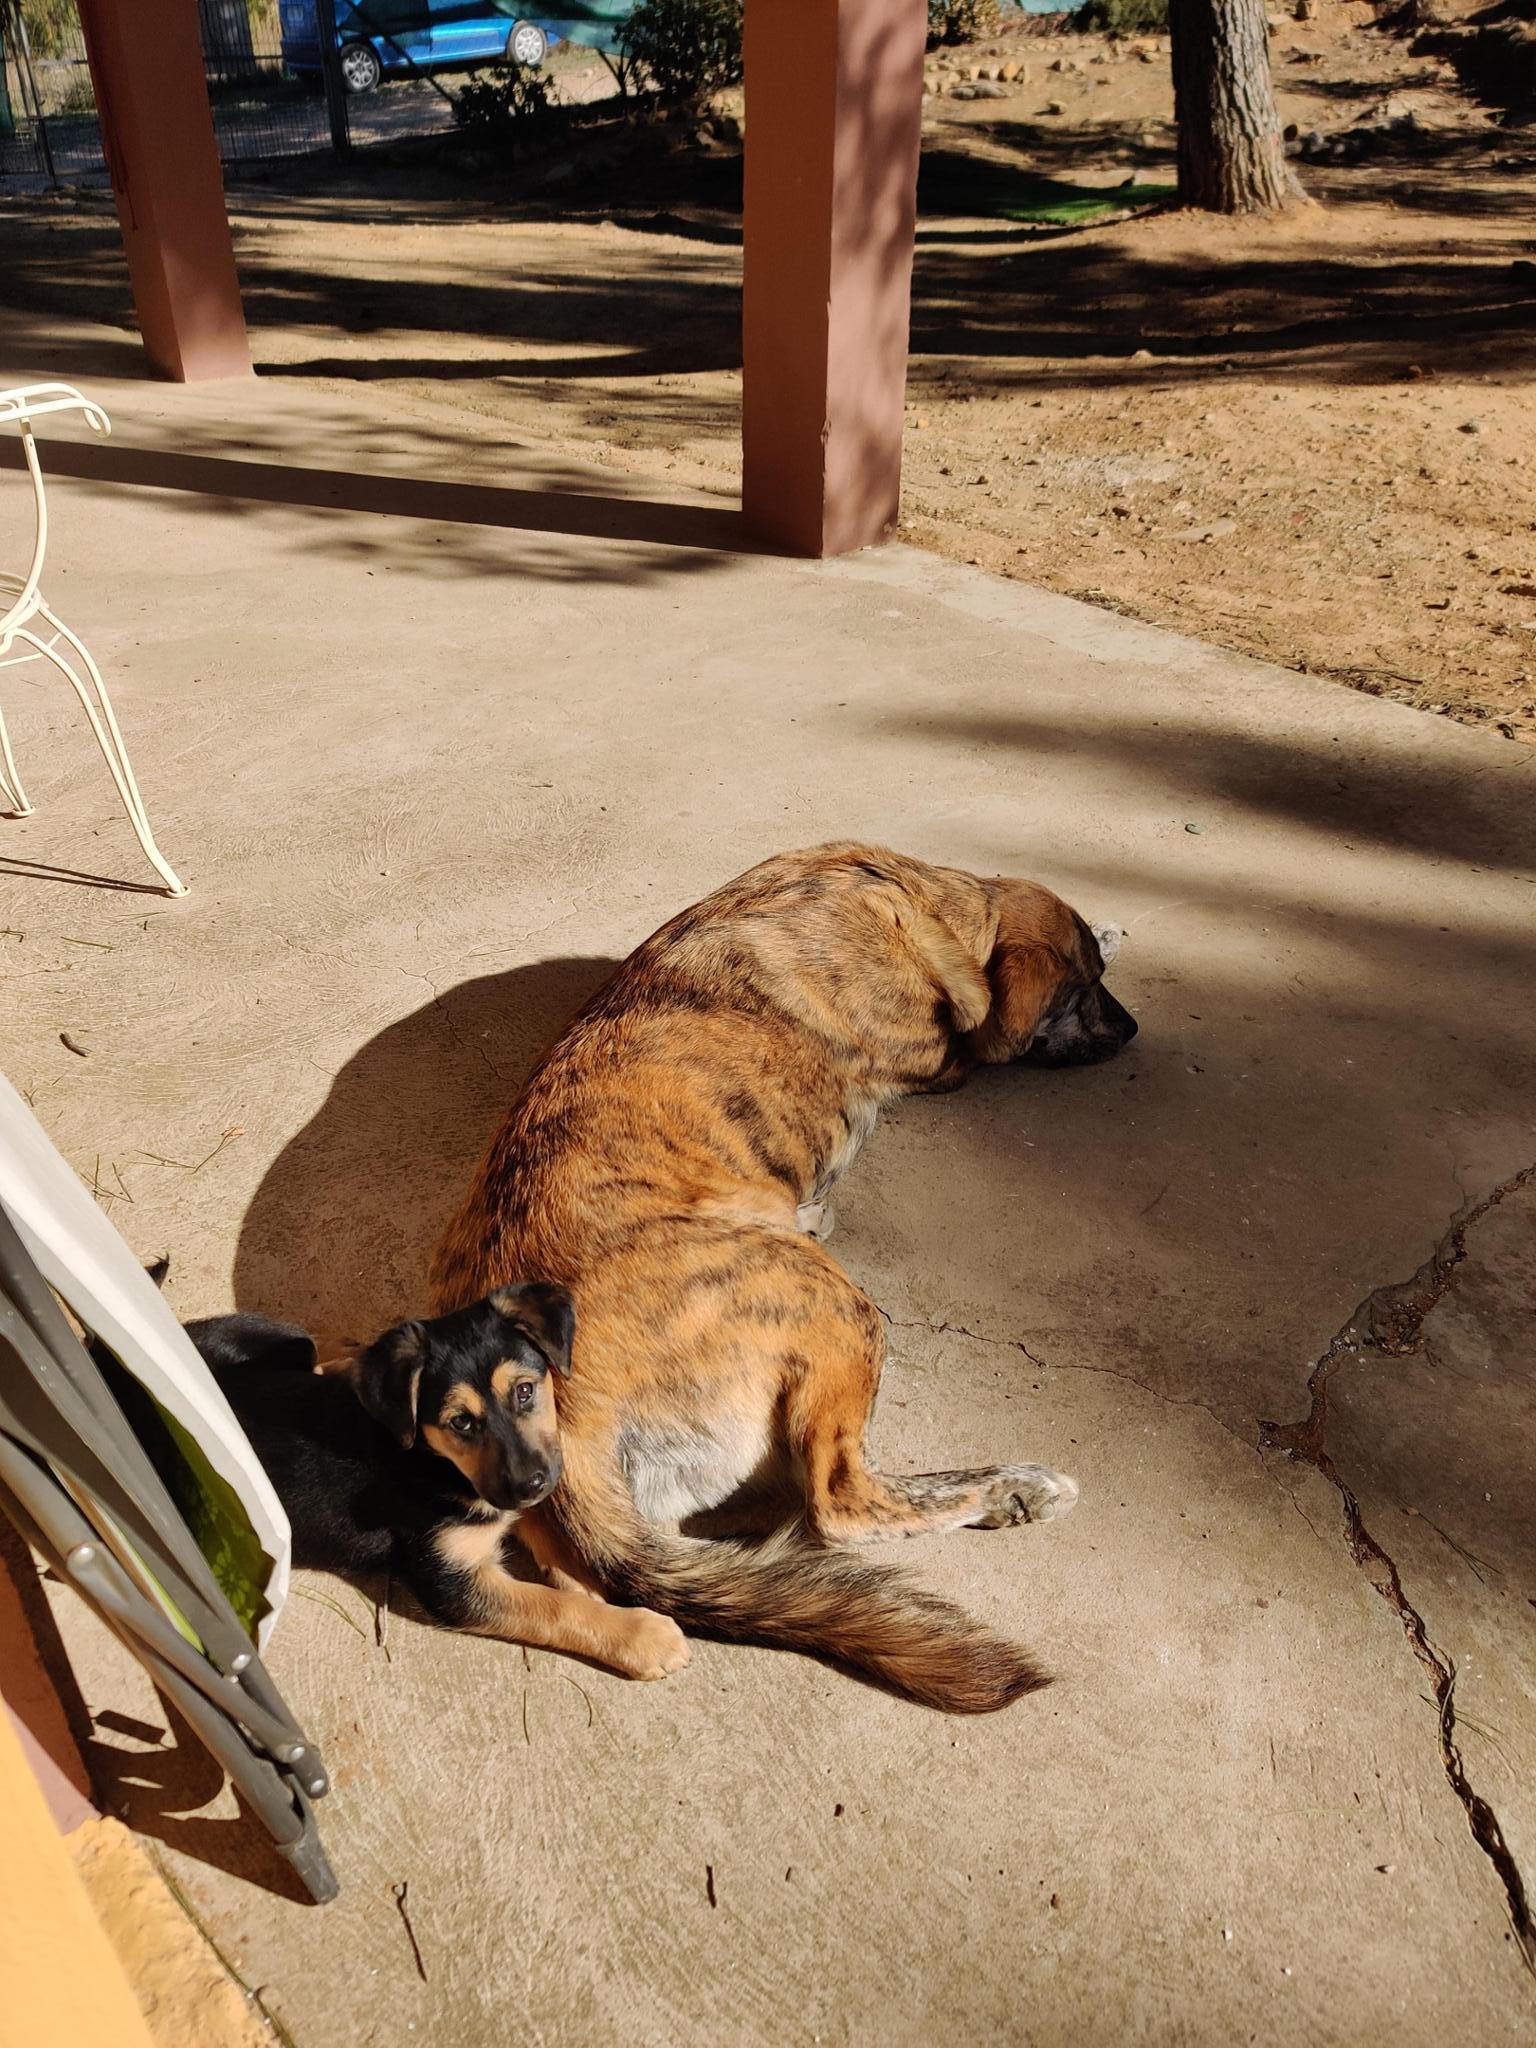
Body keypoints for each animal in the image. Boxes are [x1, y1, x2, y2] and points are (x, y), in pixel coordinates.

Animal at [185, 1294, 684, 1679]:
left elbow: (540, 1529)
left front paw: (579, 1576)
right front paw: (641, 1636)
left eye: (524, 1391)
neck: (431, 1458)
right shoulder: (451, 1582)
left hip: (275, 1336)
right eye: (460, 1422)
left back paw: (349, 1357)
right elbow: (551, 1608)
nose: (531, 1484)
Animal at [434, 835, 1146, 1712]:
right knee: (839, 1501)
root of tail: (555, 1406)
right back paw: (1011, 1490)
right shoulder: (946, 1058)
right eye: (1083, 992)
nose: (1132, 1028)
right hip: (838, 1306)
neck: (917, 897)